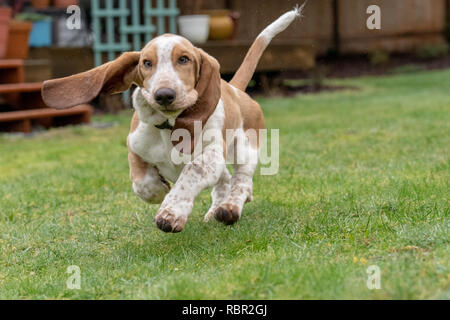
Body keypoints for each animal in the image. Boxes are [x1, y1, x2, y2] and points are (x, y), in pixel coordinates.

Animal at [41, 7, 302, 232]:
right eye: (147, 63)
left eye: (184, 59)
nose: (164, 94)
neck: (169, 127)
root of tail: (236, 89)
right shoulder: (135, 147)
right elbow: (142, 182)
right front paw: (158, 190)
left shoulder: (210, 157)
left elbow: (190, 173)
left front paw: (171, 212)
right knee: (226, 180)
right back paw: (216, 209)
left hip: (245, 149)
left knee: (242, 181)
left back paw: (229, 208)